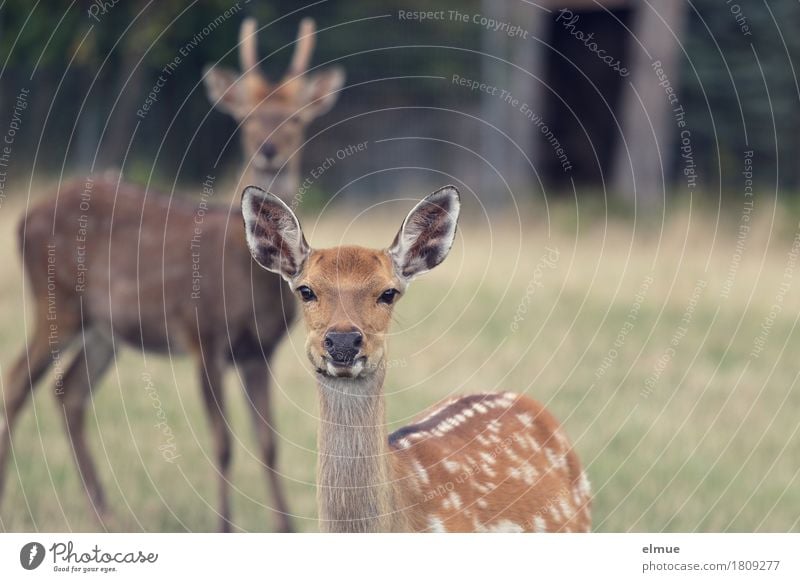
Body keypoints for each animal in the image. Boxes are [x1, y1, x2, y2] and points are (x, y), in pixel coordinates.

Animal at [0, 16, 344, 532]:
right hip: (56, 301)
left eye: (298, 118)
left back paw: (105, 513)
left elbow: (268, 445)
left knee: (68, 390)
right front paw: (223, 528)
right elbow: (223, 444)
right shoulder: (200, 332)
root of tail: (23, 218)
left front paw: (286, 528)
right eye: (246, 117)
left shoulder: (259, 349)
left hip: (104, 328)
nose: (268, 150)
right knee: (17, 381)